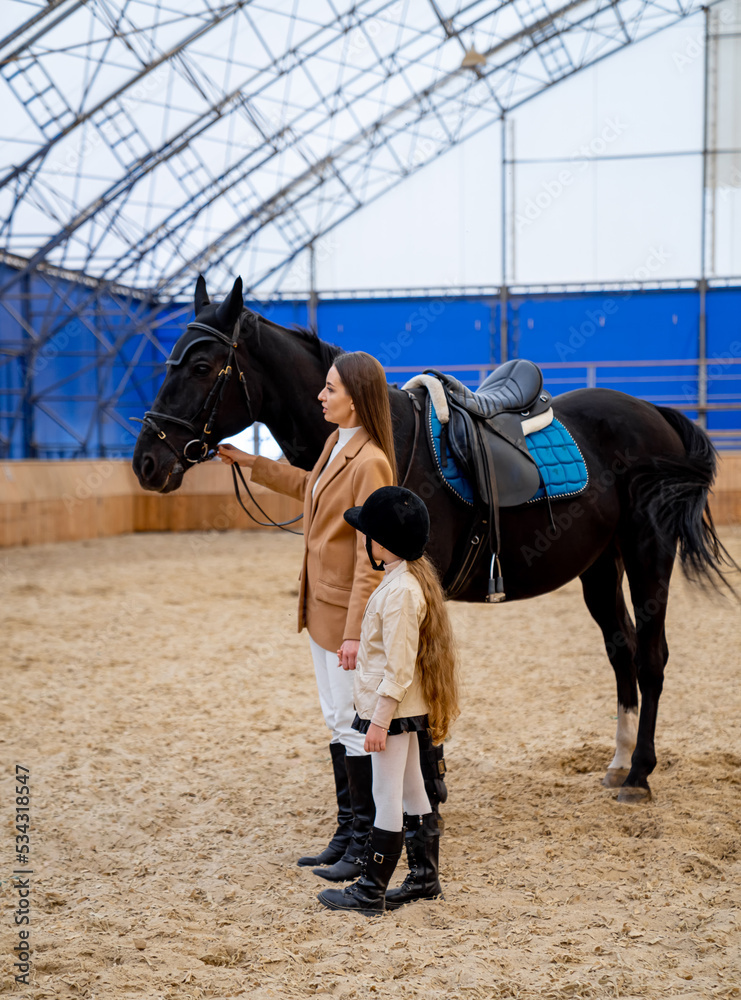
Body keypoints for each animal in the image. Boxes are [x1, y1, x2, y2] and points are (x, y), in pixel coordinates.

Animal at [133, 276, 736, 804]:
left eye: (203, 366)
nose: (147, 461)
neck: (388, 439)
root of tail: (654, 412)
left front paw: (425, 786)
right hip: (600, 564)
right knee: (622, 649)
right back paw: (618, 761)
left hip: (648, 550)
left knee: (652, 654)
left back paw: (639, 775)